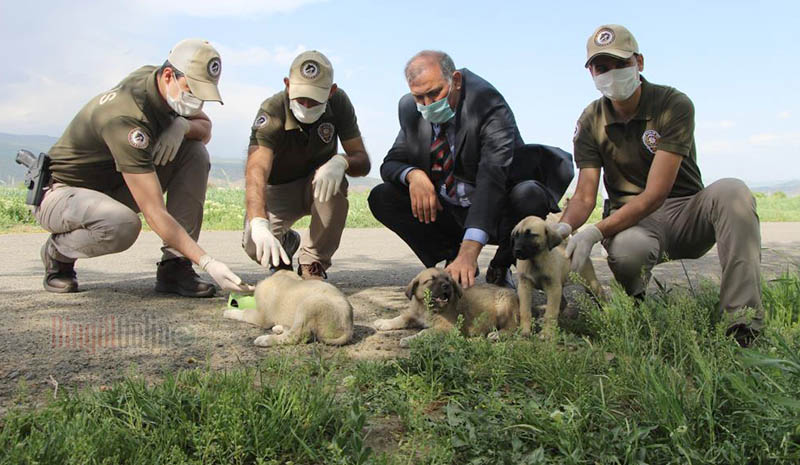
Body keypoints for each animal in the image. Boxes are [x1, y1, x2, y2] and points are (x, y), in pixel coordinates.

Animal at [223, 268, 352, 344]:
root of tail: (348, 326)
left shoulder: (261, 318)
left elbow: (244, 312)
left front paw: (228, 312)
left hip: (308, 305)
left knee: (295, 336)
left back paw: (265, 340)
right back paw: (279, 327)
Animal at [374, 266, 520, 346]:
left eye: (448, 280)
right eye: (431, 280)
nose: (447, 286)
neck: (426, 308)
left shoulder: (447, 327)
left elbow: (425, 332)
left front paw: (410, 339)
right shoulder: (414, 315)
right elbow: (400, 318)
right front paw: (384, 322)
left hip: (504, 306)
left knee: (513, 327)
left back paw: (497, 335)